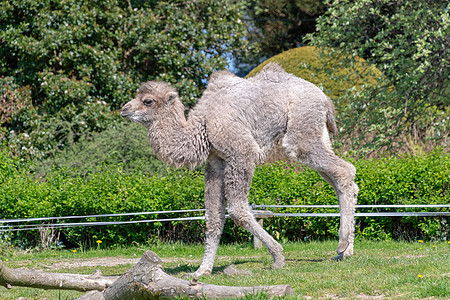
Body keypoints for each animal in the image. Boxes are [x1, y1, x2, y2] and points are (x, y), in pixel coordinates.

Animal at [119, 62, 358, 276]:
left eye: (147, 101)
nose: (124, 109)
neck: (201, 128)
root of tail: (324, 98)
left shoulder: (241, 153)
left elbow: (237, 210)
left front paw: (278, 257)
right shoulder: (215, 163)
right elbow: (213, 218)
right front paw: (202, 270)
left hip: (300, 133)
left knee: (343, 169)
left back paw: (342, 245)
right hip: (318, 134)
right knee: (342, 176)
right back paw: (345, 251)